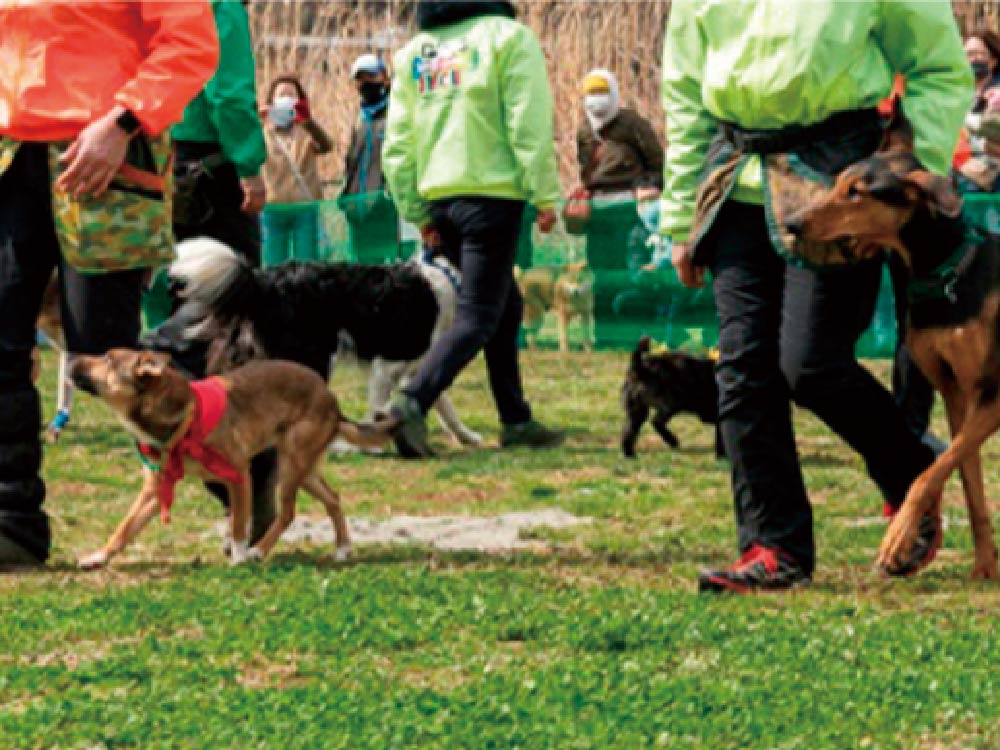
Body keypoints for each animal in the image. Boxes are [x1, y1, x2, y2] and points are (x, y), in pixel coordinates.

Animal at [69, 352, 390, 568]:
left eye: (108, 359)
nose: (70, 357)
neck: (182, 418)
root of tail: (332, 400)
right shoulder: (155, 489)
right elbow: (124, 529)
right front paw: (99, 556)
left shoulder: (239, 475)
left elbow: (238, 525)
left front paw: (239, 558)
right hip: (304, 469)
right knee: (333, 498)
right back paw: (343, 548)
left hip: (291, 467)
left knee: (287, 513)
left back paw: (259, 551)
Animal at [788, 120, 1000, 580]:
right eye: (837, 182)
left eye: (857, 193)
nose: (792, 223)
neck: (946, 274)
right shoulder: (957, 396)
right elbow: (964, 479)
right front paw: (983, 567)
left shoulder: (994, 396)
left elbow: (928, 474)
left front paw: (898, 540)